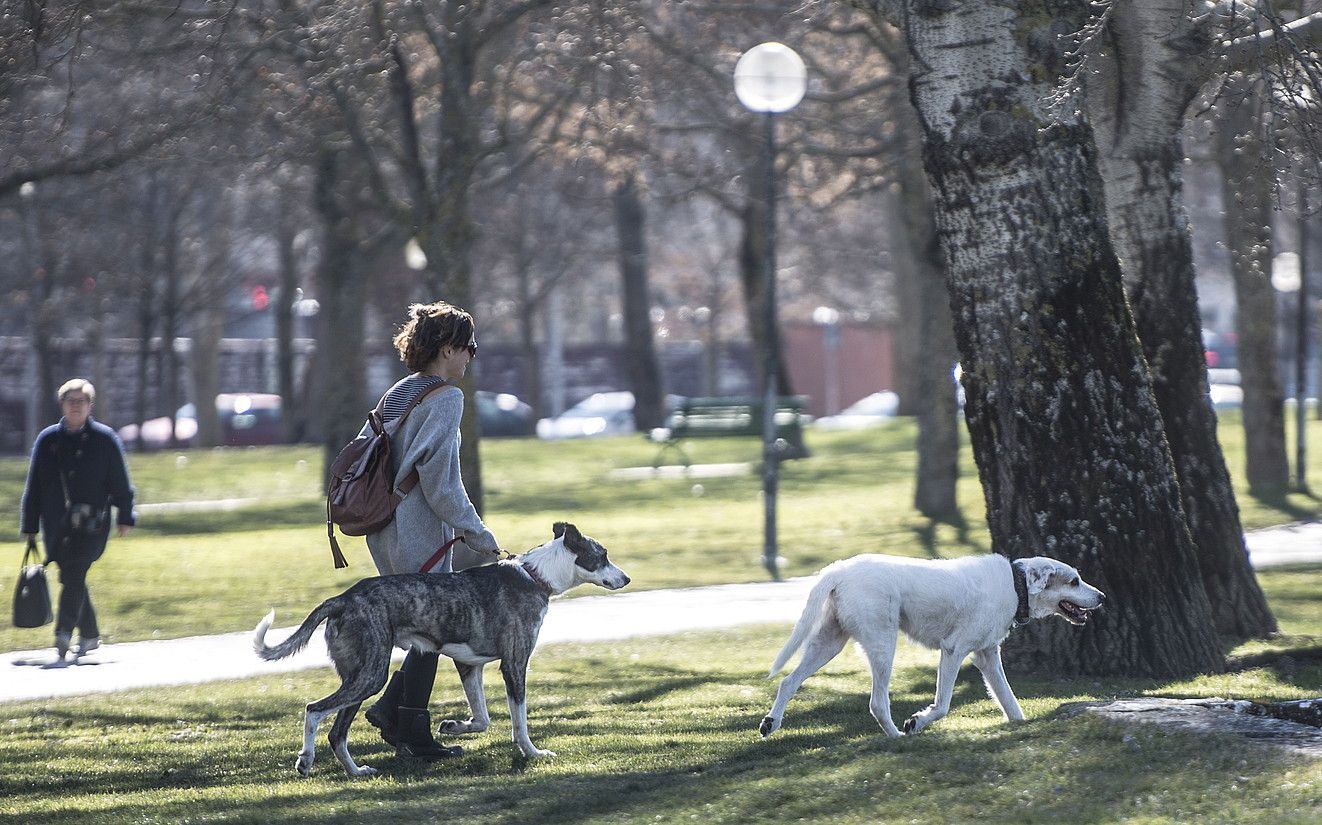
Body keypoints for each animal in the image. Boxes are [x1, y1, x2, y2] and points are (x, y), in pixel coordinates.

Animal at [257, 526, 634, 777]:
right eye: (603, 556)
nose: (627, 579)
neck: (533, 575)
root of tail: (343, 598)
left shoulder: (469, 666)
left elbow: (482, 718)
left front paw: (454, 726)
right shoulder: (514, 665)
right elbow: (519, 722)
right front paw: (533, 753)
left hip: (360, 677)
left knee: (337, 734)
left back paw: (357, 771)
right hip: (370, 675)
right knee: (314, 711)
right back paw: (305, 760)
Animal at [761, 555, 1099, 740]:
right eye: (1074, 581)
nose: (1103, 597)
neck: (1017, 586)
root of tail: (839, 570)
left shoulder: (987, 656)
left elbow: (1010, 703)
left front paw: (1019, 725)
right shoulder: (953, 650)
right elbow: (943, 705)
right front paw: (917, 722)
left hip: (828, 643)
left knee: (788, 681)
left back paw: (770, 724)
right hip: (883, 646)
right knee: (877, 703)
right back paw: (898, 736)